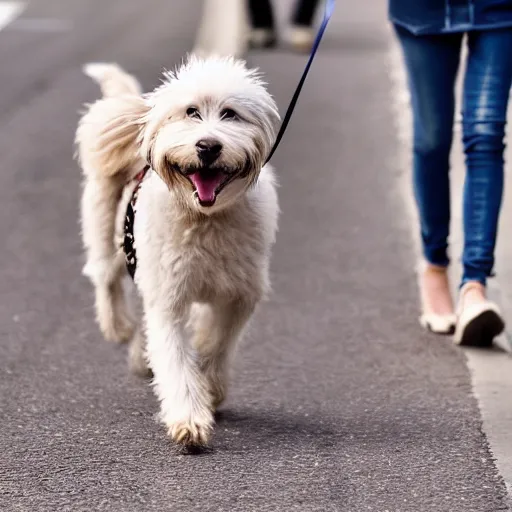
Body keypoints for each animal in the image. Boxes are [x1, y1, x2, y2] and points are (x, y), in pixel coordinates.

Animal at [77, 57, 280, 448]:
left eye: (230, 114)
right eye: (191, 112)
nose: (208, 146)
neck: (204, 218)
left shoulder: (239, 294)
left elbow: (217, 343)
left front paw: (211, 388)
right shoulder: (169, 294)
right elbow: (175, 358)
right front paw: (189, 421)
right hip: (104, 221)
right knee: (105, 276)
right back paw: (117, 325)